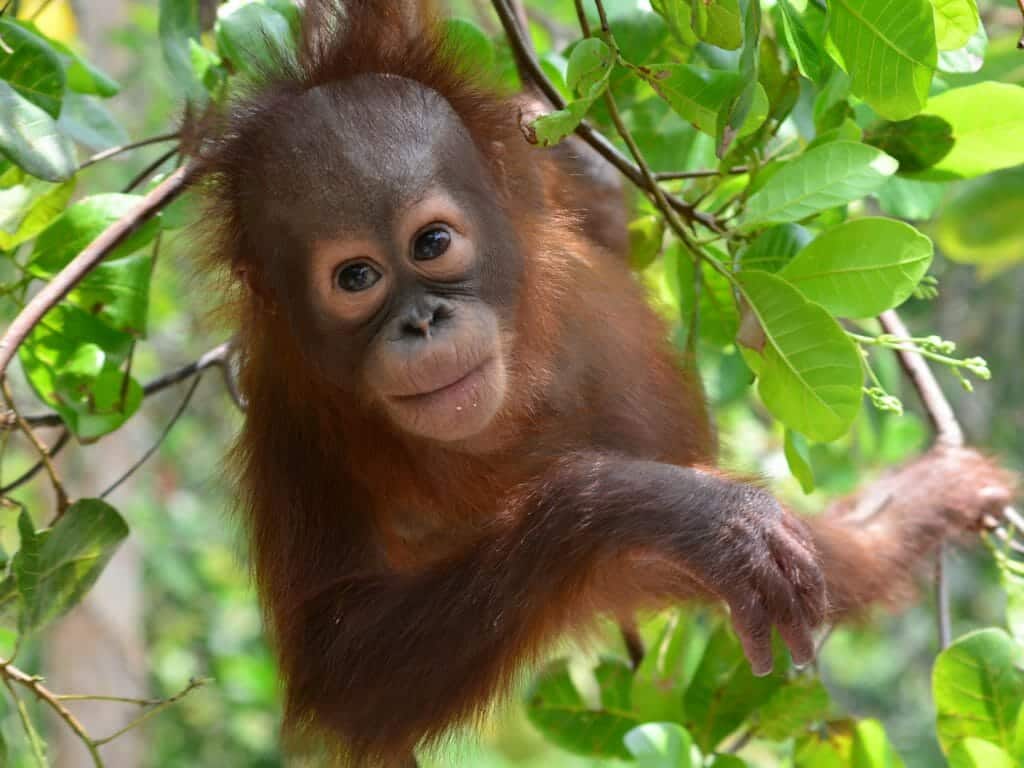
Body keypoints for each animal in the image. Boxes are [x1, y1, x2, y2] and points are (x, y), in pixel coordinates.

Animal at [189, 1, 1016, 765]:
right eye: (356, 279)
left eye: (432, 243)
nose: (421, 322)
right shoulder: (290, 415)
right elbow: (344, 661)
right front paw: (676, 511)